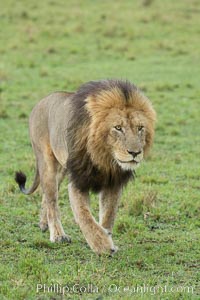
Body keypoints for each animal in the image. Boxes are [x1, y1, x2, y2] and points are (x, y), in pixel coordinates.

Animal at [15, 78, 156, 254]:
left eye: (140, 128)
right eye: (118, 128)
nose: (135, 153)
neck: (105, 158)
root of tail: (40, 102)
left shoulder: (113, 183)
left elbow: (108, 215)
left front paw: (107, 236)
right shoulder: (78, 181)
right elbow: (85, 217)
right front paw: (102, 245)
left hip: (62, 170)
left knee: (47, 196)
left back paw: (43, 223)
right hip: (47, 163)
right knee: (52, 200)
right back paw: (58, 235)